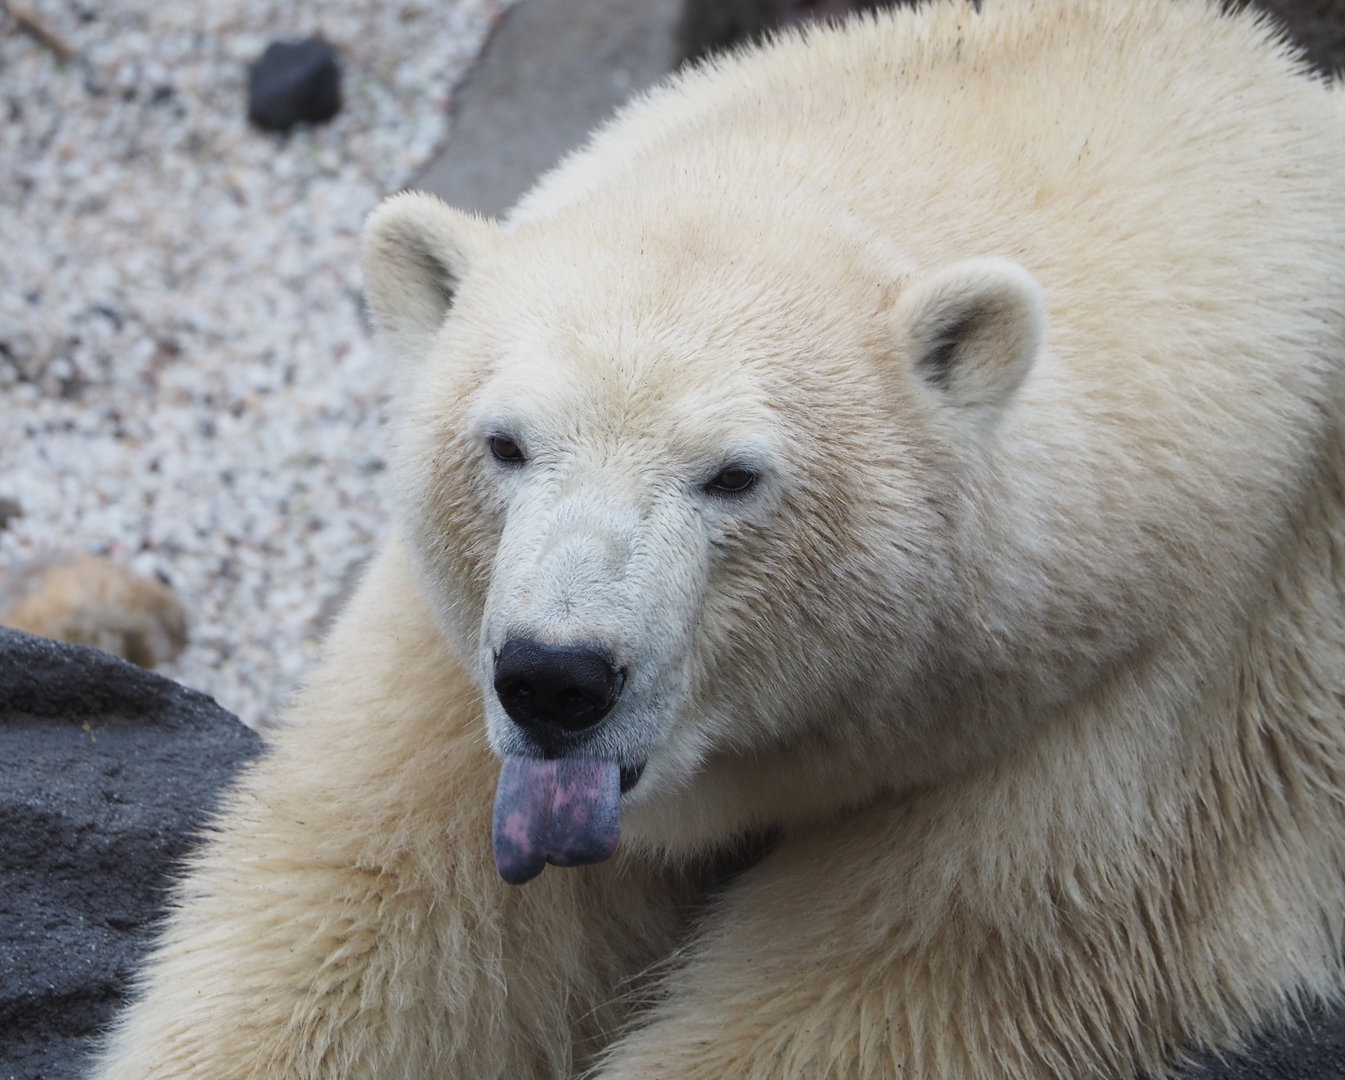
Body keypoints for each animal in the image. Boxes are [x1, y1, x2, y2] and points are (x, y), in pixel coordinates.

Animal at [92, 0, 1345, 1077]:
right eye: (504, 443)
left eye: (733, 477)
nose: (558, 680)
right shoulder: (456, 652)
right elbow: (383, 914)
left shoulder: (1151, 712)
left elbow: (900, 985)